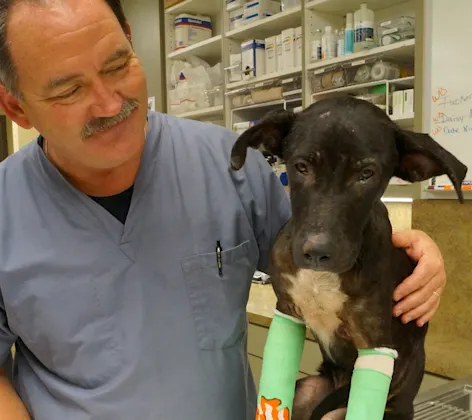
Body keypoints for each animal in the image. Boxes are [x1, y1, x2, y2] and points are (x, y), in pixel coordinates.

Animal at [230, 97, 466, 418]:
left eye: (366, 174)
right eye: (301, 166)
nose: (317, 252)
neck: (322, 278)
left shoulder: (374, 341)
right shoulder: (288, 311)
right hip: (307, 390)